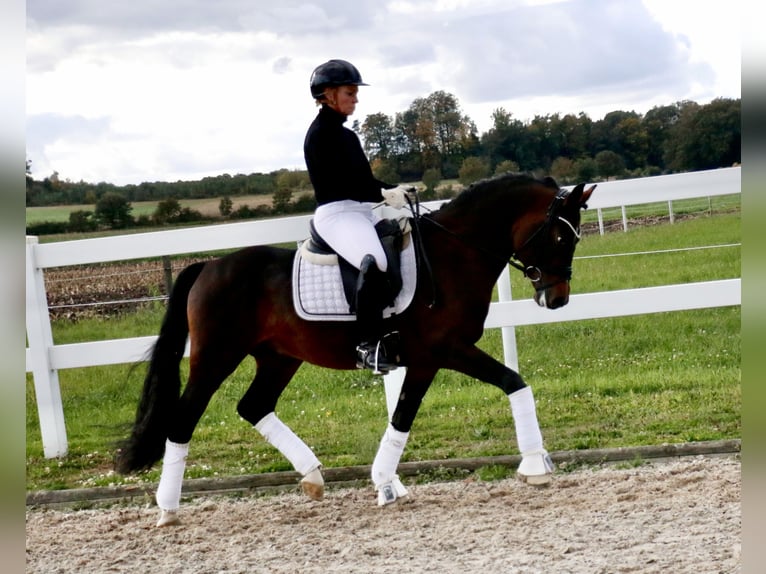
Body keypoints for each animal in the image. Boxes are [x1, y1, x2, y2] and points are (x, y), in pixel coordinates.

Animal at [114, 174, 596, 528]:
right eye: (560, 238)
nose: (557, 299)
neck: (453, 255)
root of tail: (209, 265)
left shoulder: (428, 359)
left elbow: (409, 416)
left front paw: (387, 483)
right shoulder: (442, 351)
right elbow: (505, 384)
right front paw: (534, 466)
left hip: (279, 357)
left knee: (253, 406)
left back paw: (312, 477)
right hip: (216, 358)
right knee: (183, 421)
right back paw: (167, 509)